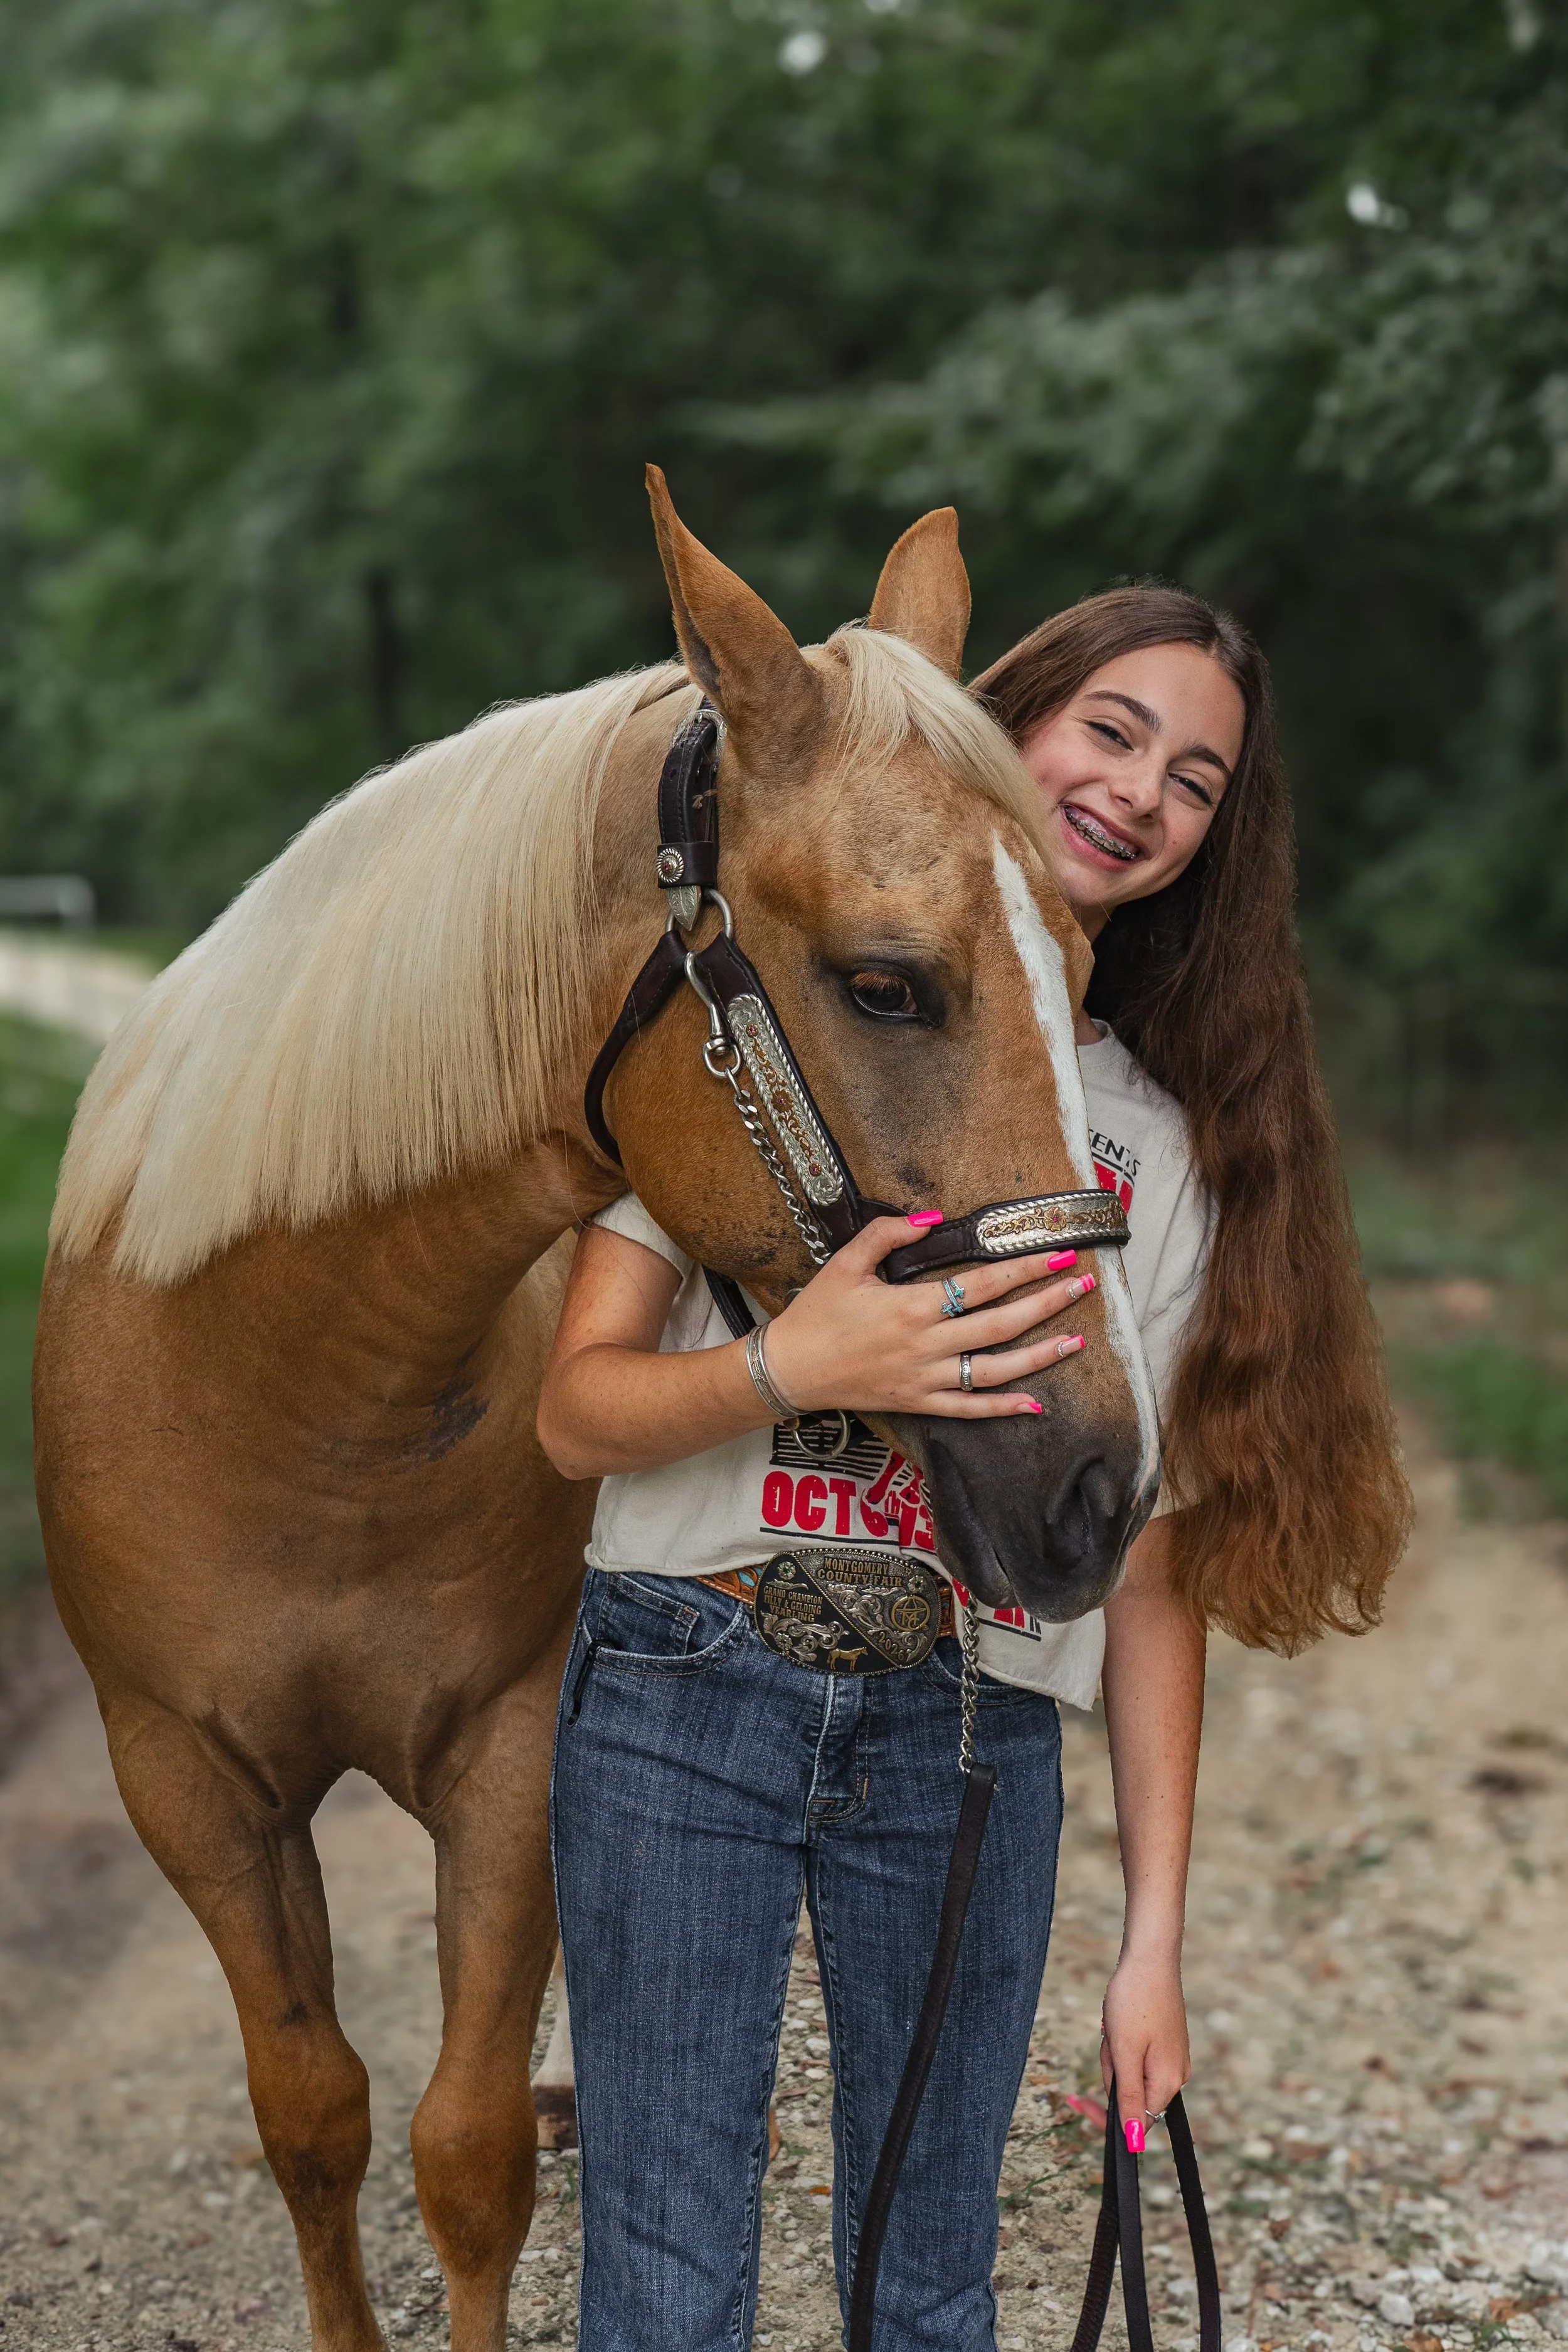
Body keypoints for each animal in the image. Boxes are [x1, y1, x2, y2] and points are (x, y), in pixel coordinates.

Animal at [33, 469, 1157, 2352]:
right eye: (886, 981)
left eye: (1079, 966)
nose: (1100, 1481)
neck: (304, 1399)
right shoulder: (185, 1776)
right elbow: (314, 2111)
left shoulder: (506, 1750)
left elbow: (469, 2143)